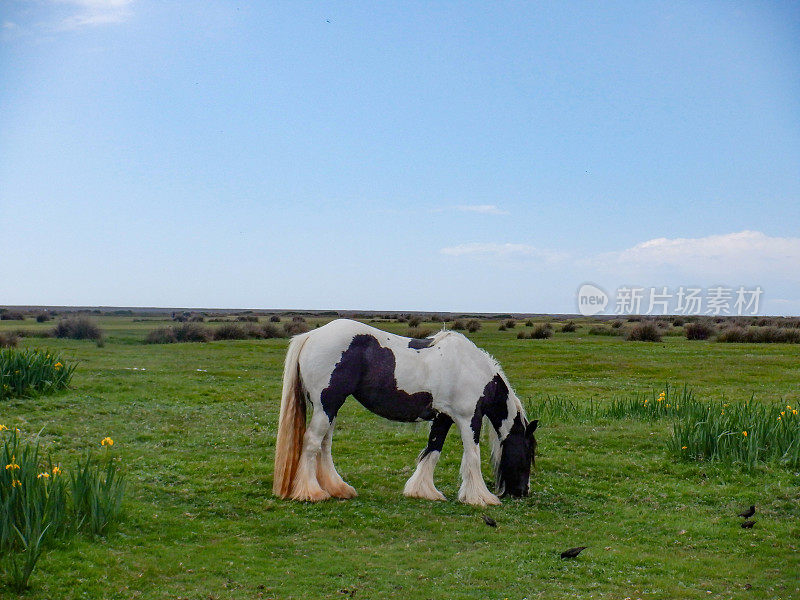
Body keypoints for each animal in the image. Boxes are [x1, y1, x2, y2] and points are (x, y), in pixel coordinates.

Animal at [272, 318, 540, 506]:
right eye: (528, 452)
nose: (523, 491)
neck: (472, 368)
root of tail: (311, 335)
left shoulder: (443, 418)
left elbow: (432, 450)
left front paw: (423, 491)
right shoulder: (468, 418)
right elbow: (472, 456)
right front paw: (480, 498)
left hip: (330, 408)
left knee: (325, 445)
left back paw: (338, 489)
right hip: (326, 406)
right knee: (312, 443)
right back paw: (312, 492)